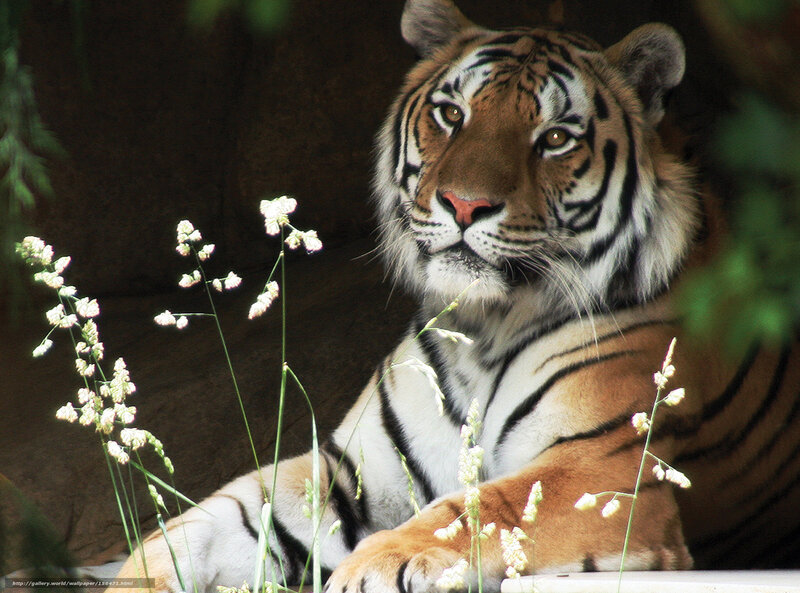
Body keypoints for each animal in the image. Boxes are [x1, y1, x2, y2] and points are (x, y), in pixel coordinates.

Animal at [112, 0, 800, 591]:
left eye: (555, 138)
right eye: (452, 115)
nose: (465, 205)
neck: (485, 326)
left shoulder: (603, 470)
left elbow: (485, 506)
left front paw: (377, 563)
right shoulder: (355, 472)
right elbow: (214, 518)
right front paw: (139, 574)